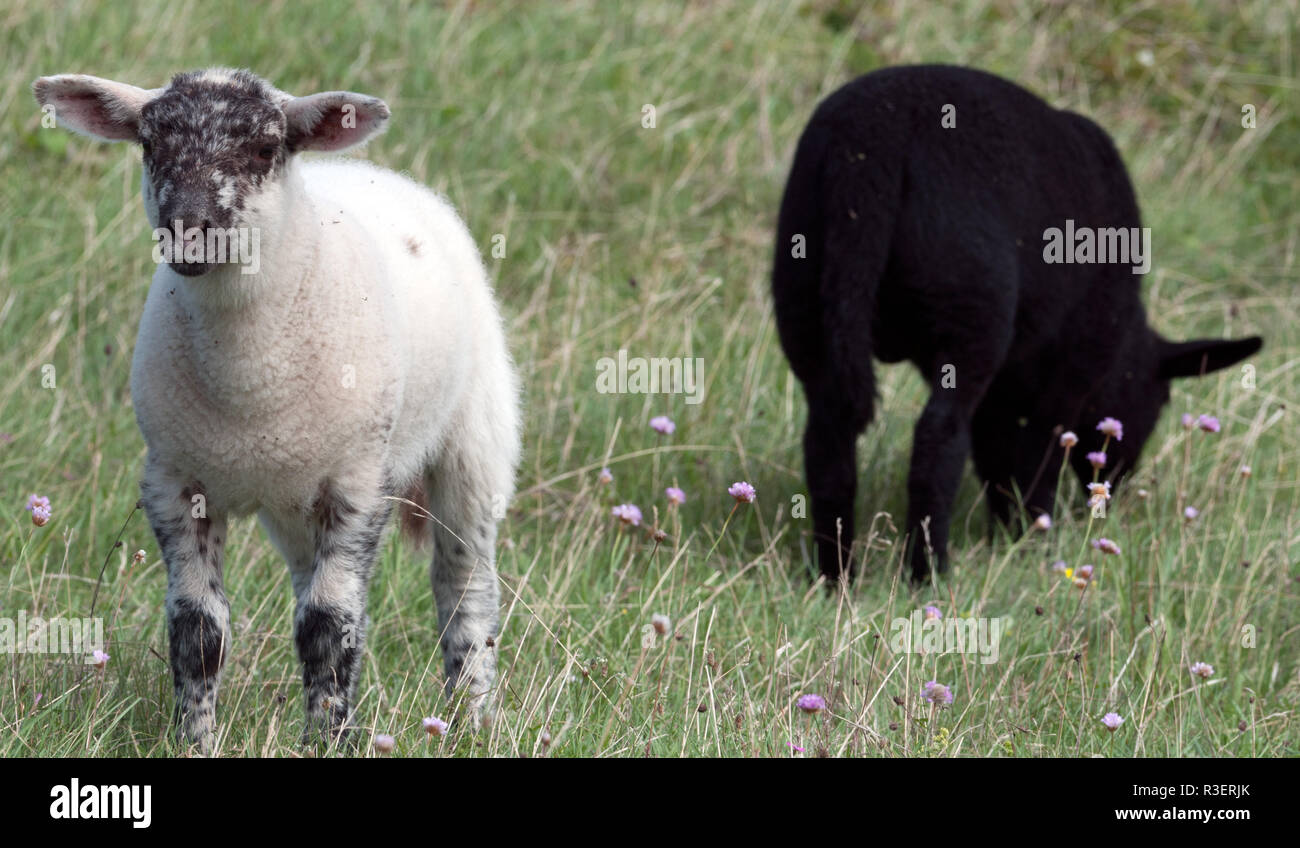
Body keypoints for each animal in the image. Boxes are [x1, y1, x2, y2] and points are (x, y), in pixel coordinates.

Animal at [33, 68, 520, 750]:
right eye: (150, 145)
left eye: (265, 149)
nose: (189, 233)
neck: (249, 385)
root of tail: (371, 170)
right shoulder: (175, 483)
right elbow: (198, 633)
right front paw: (197, 742)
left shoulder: (356, 485)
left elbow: (328, 628)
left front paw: (328, 741)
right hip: (294, 506)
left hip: (474, 441)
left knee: (464, 588)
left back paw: (472, 718)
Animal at [772, 65, 1261, 584]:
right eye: (1161, 400)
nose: (1117, 487)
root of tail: (869, 146)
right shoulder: (1079, 358)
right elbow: (1043, 446)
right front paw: (1033, 533)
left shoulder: (1004, 384)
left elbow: (995, 449)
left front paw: (1008, 529)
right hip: (970, 312)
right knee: (938, 438)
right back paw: (928, 572)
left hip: (807, 296)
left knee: (829, 437)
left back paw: (835, 575)